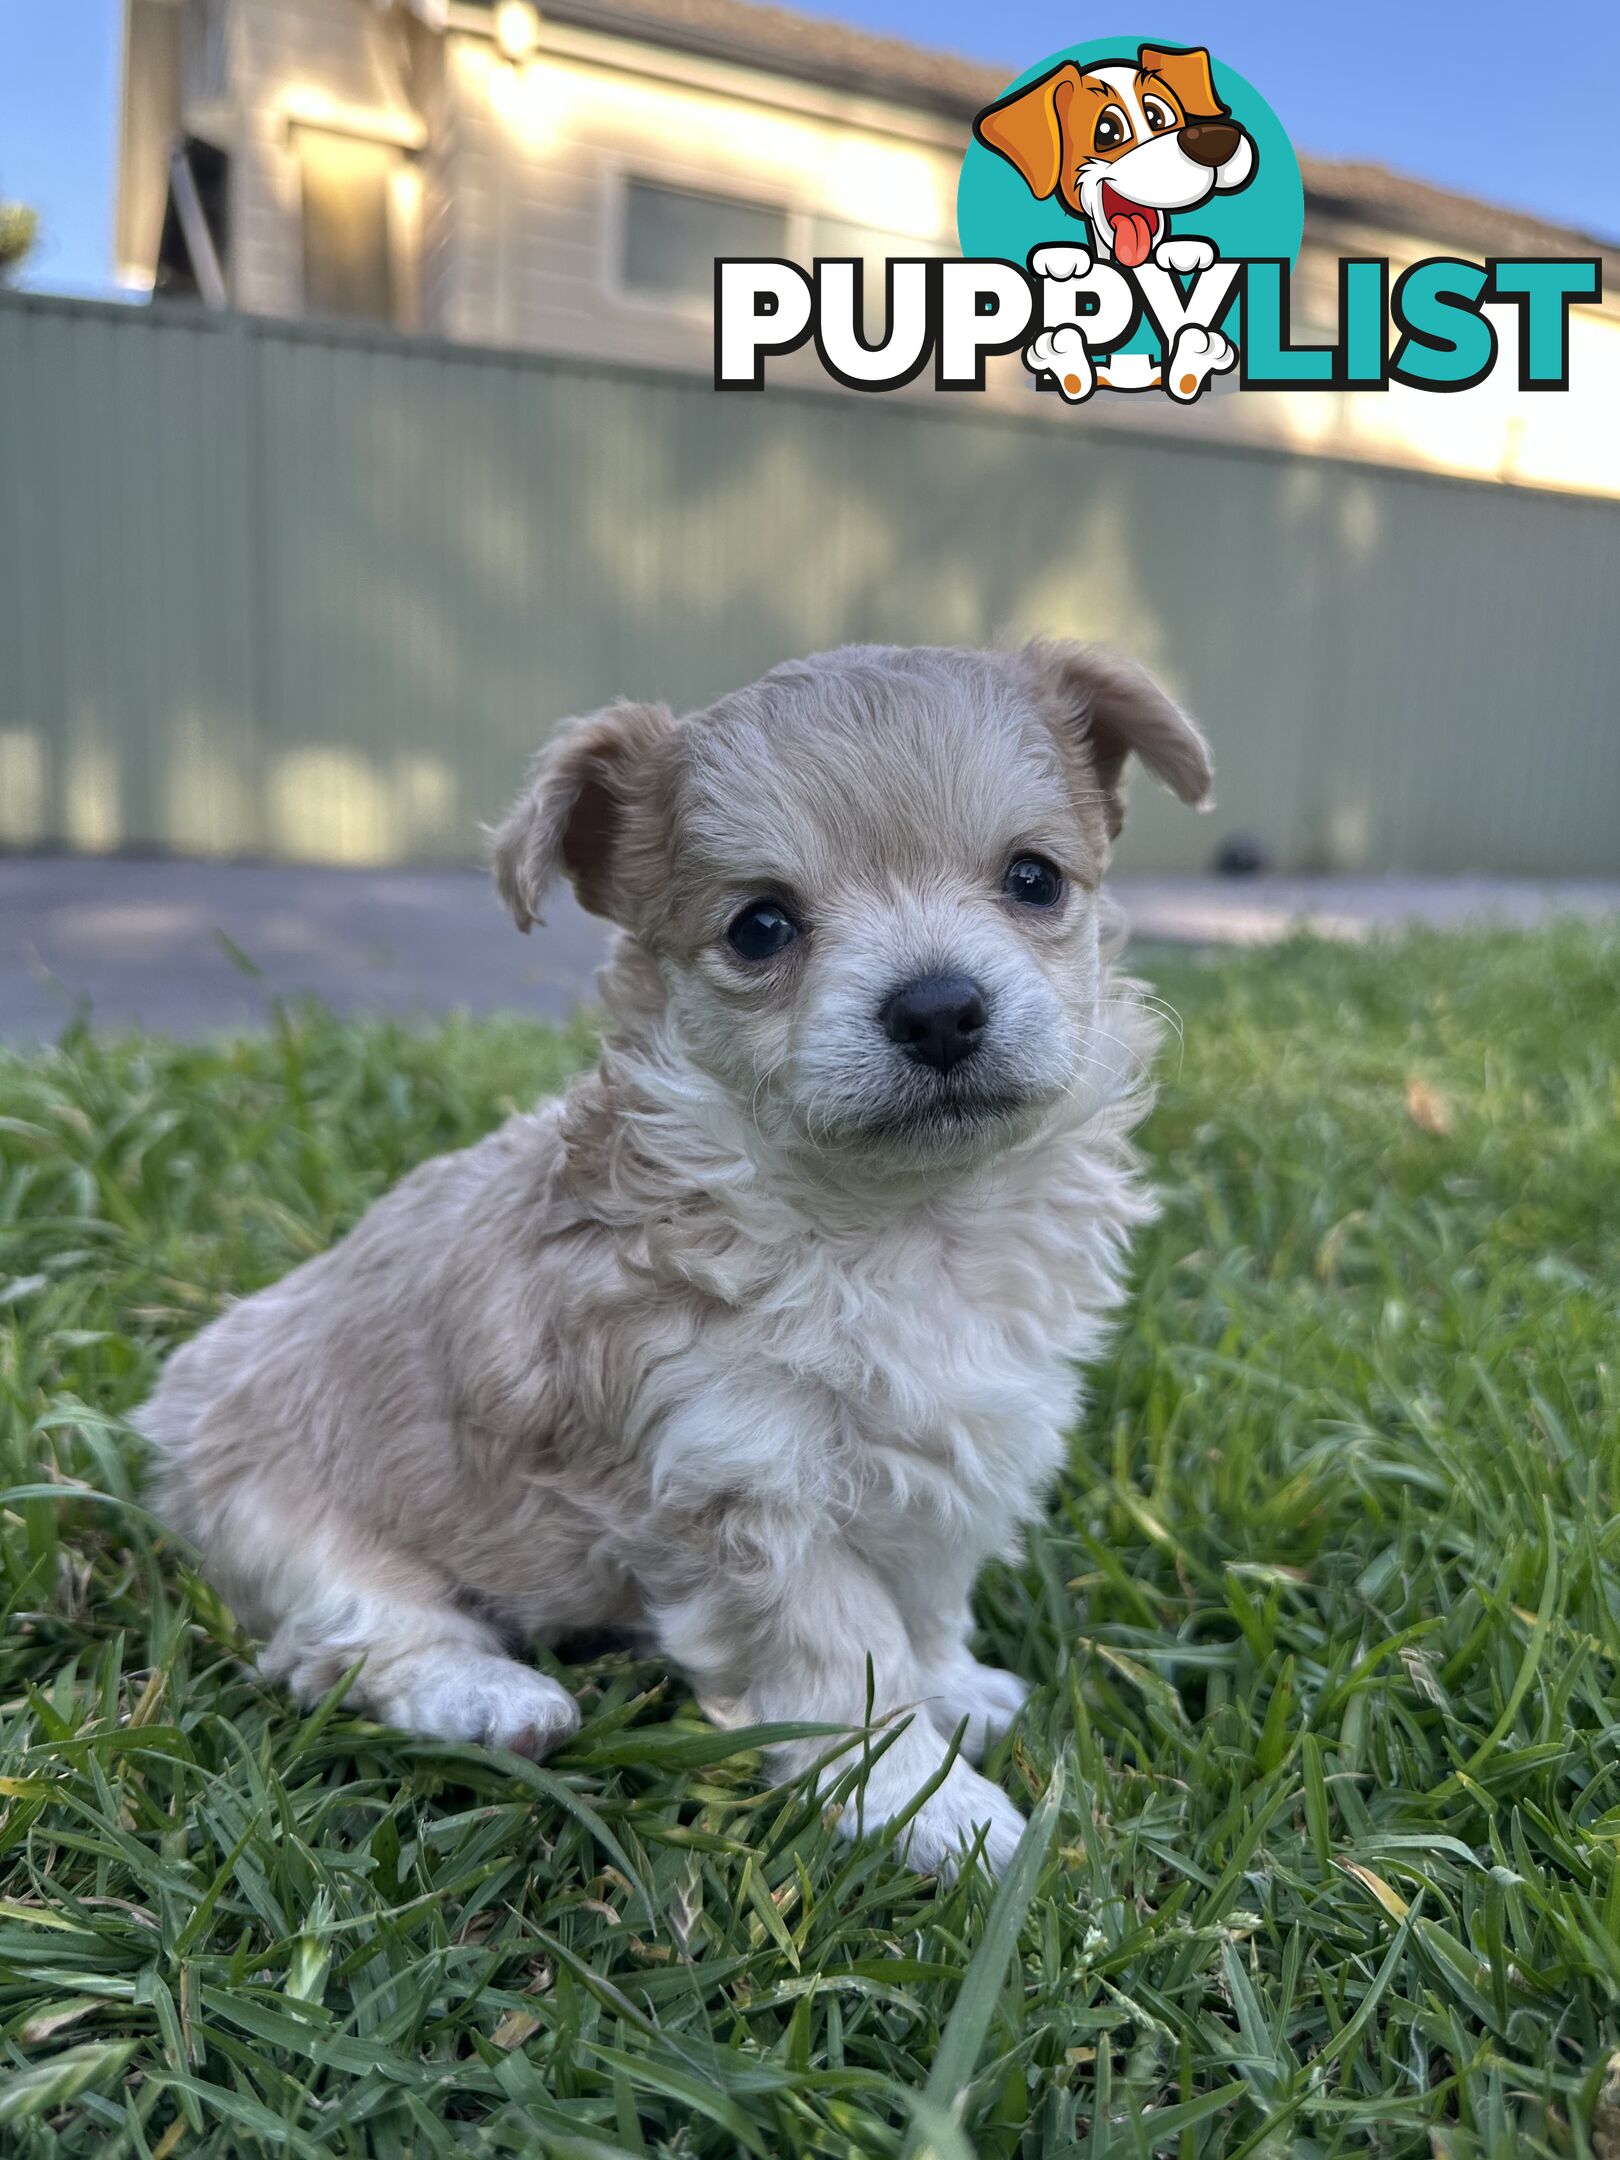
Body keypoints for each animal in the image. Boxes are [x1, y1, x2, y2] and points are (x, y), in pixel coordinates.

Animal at [139, 635, 1209, 1874]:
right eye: (760, 927)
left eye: (1033, 879)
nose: (940, 1008)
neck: (895, 1225)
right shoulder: (741, 1491)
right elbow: (847, 1660)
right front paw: (929, 1807)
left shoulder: (970, 1452)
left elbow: (927, 1604)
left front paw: (955, 1690)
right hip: (272, 1523)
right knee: (357, 1639)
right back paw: (494, 1699)